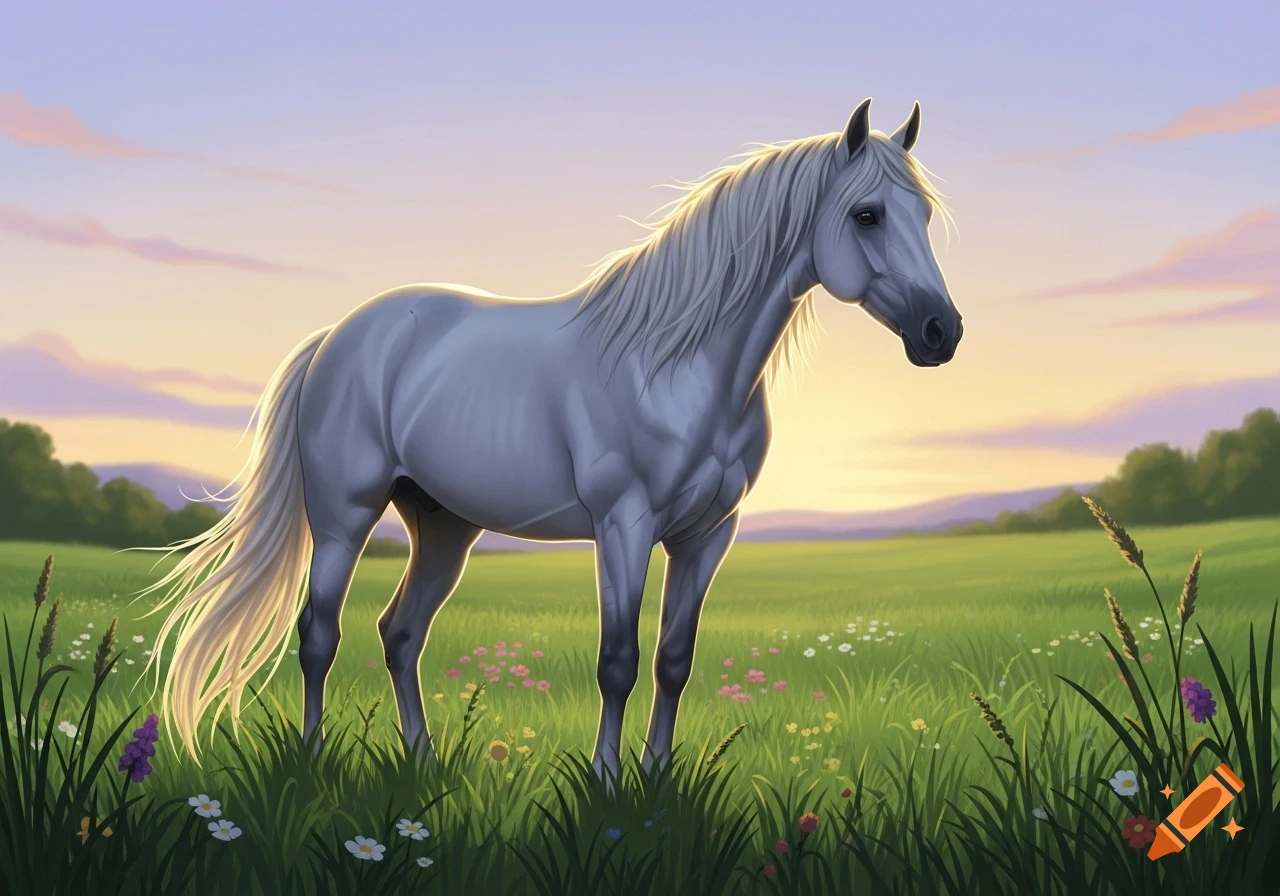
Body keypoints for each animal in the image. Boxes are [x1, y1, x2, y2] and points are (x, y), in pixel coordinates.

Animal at [141, 97, 963, 779]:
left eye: (923, 215)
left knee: (400, 633)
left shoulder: (708, 536)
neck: (677, 365)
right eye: (866, 215)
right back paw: (312, 763)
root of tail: (337, 337)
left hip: (444, 526)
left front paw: (658, 778)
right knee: (319, 633)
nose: (941, 332)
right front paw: (606, 783)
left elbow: (674, 660)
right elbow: (618, 661)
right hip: (345, 516)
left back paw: (423, 762)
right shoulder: (624, 525)